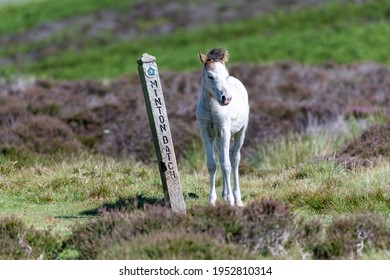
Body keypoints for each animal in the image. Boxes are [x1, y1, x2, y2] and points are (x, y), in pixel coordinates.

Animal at [195, 47, 250, 206]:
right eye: (210, 76)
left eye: (226, 75)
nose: (226, 99)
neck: (211, 108)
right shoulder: (206, 133)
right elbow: (212, 165)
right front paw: (212, 201)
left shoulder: (224, 131)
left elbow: (226, 166)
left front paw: (231, 201)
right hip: (218, 138)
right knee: (222, 158)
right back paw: (224, 194)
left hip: (239, 132)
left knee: (234, 159)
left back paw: (237, 199)